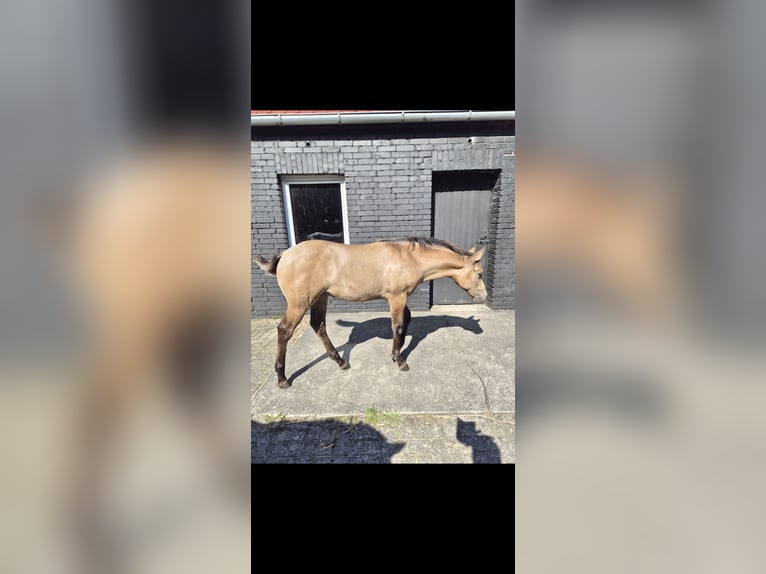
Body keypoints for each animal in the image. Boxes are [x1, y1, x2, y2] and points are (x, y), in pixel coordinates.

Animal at [254, 237, 487, 388]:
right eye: (480, 274)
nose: (483, 297)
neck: (409, 258)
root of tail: (286, 254)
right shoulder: (397, 297)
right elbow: (398, 325)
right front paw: (399, 360)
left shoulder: (400, 298)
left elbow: (406, 321)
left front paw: (397, 352)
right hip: (299, 304)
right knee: (284, 330)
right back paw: (282, 378)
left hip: (320, 298)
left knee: (318, 325)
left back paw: (341, 362)